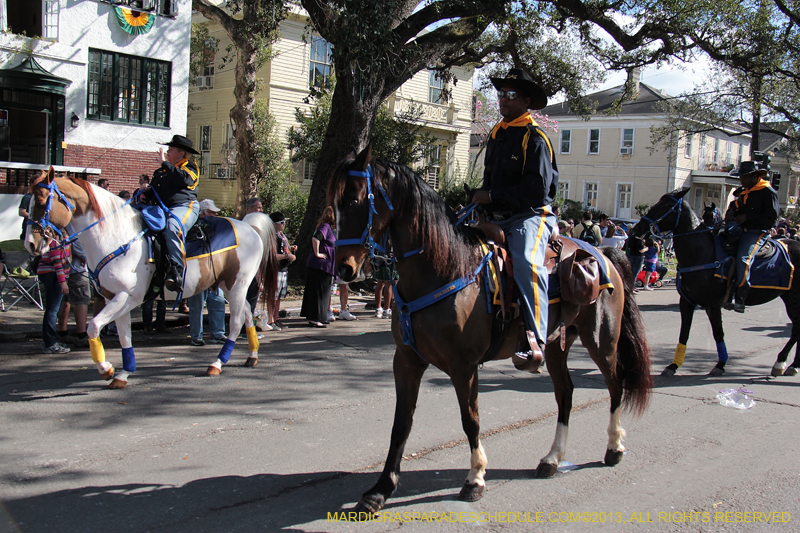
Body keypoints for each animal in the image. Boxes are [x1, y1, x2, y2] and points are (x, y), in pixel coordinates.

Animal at [24, 168, 278, 388]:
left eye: (41, 202)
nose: (30, 244)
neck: (117, 236)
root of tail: (248, 226)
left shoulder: (128, 297)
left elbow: (93, 326)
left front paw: (106, 368)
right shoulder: (114, 297)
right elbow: (123, 336)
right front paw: (123, 374)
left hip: (237, 285)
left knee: (235, 322)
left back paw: (217, 363)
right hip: (231, 286)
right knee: (247, 314)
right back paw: (251, 355)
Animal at [328, 145, 652, 512]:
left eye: (355, 199)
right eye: (332, 203)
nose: (344, 268)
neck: (445, 267)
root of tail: (604, 253)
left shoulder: (463, 366)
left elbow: (470, 420)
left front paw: (475, 478)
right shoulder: (407, 361)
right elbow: (401, 424)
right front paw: (381, 489)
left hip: (602, 340)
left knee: (615, 385)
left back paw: (614, 447)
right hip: (557, 345)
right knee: (565, 394)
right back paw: (552, 459)